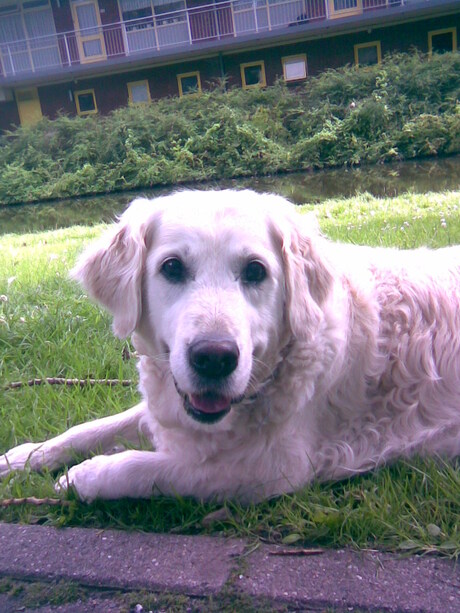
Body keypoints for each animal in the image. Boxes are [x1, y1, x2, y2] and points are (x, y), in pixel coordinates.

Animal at [0, 191, 460, 502]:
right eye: (172, 267)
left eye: (255, 271)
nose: (214, 358)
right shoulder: (170, 404)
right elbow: (91, 428)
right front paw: (22, 457)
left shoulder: (270, 470)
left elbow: (155, 469)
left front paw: (84, 477)